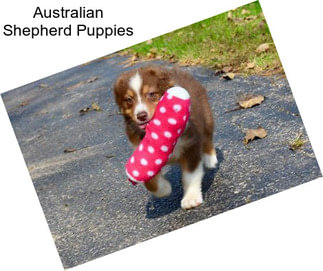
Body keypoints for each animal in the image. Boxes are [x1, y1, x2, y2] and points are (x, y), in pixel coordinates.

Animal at [114, 66, 218, 210]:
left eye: (152, 94)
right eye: (129, 100)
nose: (141, 115)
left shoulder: (190, 144)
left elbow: (190, 175)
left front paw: (191, 198)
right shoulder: (144, 153)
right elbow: (149, 180)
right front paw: (164, 189)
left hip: (206, 115)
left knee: (207, 137)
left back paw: (210, 159)